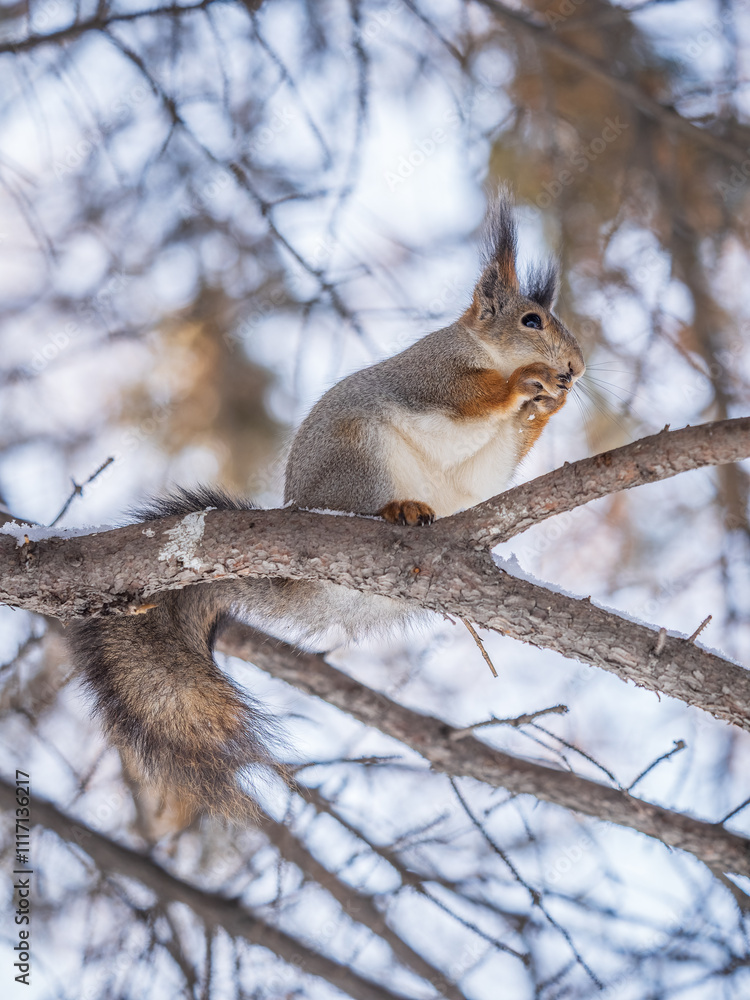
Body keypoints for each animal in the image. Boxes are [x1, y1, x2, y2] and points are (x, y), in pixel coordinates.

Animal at [69, 194, 585, 816]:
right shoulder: (431, 371)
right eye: (531, 321)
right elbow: (468, 395)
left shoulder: (499, 447)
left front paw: (551, 405)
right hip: (360, 455)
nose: (576, 368)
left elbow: (506, 450)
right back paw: (396, 512)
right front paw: (527, 380)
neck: (484, 349)